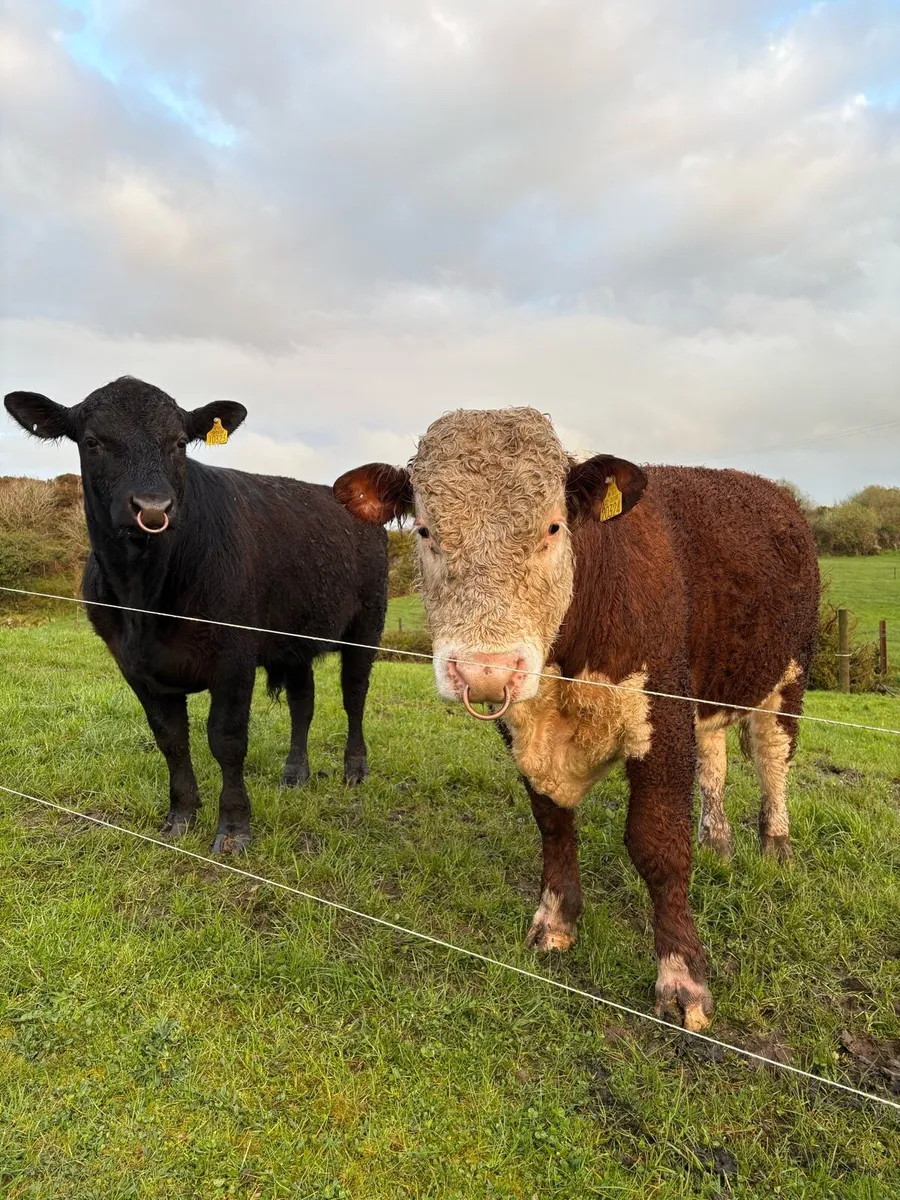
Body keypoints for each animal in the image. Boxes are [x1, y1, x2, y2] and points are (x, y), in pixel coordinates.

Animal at [4, 376, 388, 853]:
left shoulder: (235, 655)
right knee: (304, 703)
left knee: (354, 694)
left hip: (367, 623)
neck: (144, 599)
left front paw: (234, 828)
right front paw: (181, 815)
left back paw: (354, 769)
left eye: (179, 443)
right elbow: (171, 739)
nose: (153, 508)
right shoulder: (133, 665)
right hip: (295, 637)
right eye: (92, 441)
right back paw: (295, 774)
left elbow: (226, 739)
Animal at [334, 407, 820, 1028]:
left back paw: (775, 847)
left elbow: (657, 844)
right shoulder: (526, 728)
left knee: (771, 756)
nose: (485, 669)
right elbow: (552, 823)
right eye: (423, 531)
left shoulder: (662, 714)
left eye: (552, 528)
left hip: (789, 674)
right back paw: (718, 841)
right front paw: (556, 920)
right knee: (714, 756)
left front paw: (682, 977)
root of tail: (771, 492)